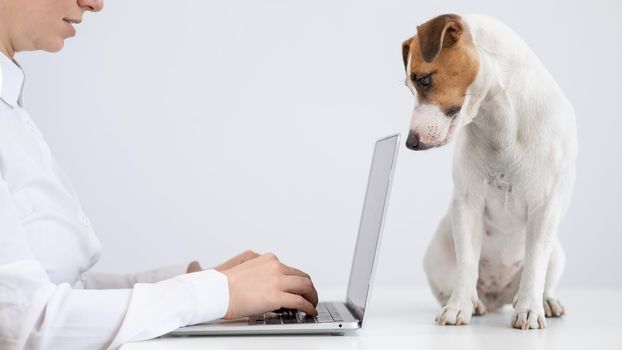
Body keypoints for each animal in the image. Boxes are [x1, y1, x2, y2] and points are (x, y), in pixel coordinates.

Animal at [404, 13, 580, 330]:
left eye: (424, 80)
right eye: (410, 87)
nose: (411, 143)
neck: (500, 120)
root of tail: (498, 295)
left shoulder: (545, 208)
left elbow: (535, 265)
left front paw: (529, 310)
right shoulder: (468, 206)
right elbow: (467, 264)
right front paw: (458, 307)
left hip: (557, 253)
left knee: (542, 278)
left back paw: (543, 301)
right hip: (436, 254)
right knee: (454, 282)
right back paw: (473, 302)